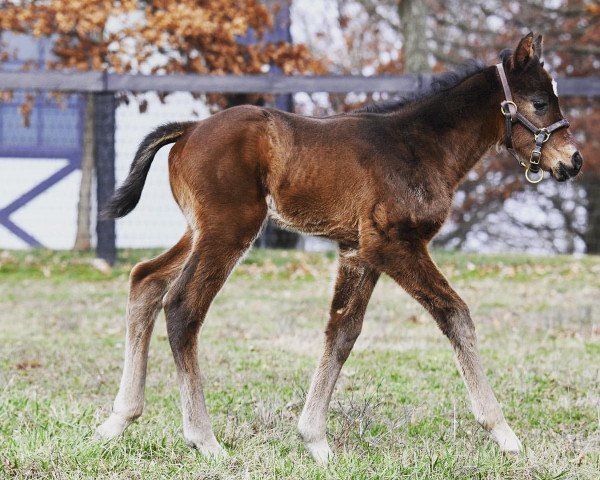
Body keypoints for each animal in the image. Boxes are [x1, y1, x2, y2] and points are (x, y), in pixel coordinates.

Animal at [97, 33, 580, 462]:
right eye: (540, 102)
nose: (572, 161)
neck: (419, 146)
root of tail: (191, 127)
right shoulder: (392, 244)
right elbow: (455, 315)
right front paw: (504, 433)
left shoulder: (357, 251)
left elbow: (343, 330)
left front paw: (315, 440)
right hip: (229, 229)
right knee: (182, 306)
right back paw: (203, 438)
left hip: (201, 230)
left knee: (146, 279)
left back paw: (118, 420)